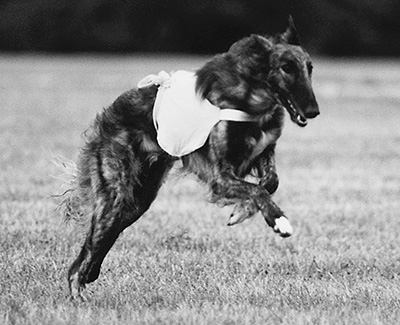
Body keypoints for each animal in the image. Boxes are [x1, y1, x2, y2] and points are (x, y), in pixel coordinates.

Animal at [62, 17, 318, 300]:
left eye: (309, 68)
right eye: (286, 68)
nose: (313, 111)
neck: (251, 97)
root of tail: (108, 115)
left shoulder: (263, 152)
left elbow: (270, 183)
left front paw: (242, 211)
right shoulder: (220, 176)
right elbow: (258, 190)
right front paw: (278, 221)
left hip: (137, 200)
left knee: (95, 247)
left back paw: (88, 276)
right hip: (115, 194)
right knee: (80, 261)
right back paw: (79, 295)